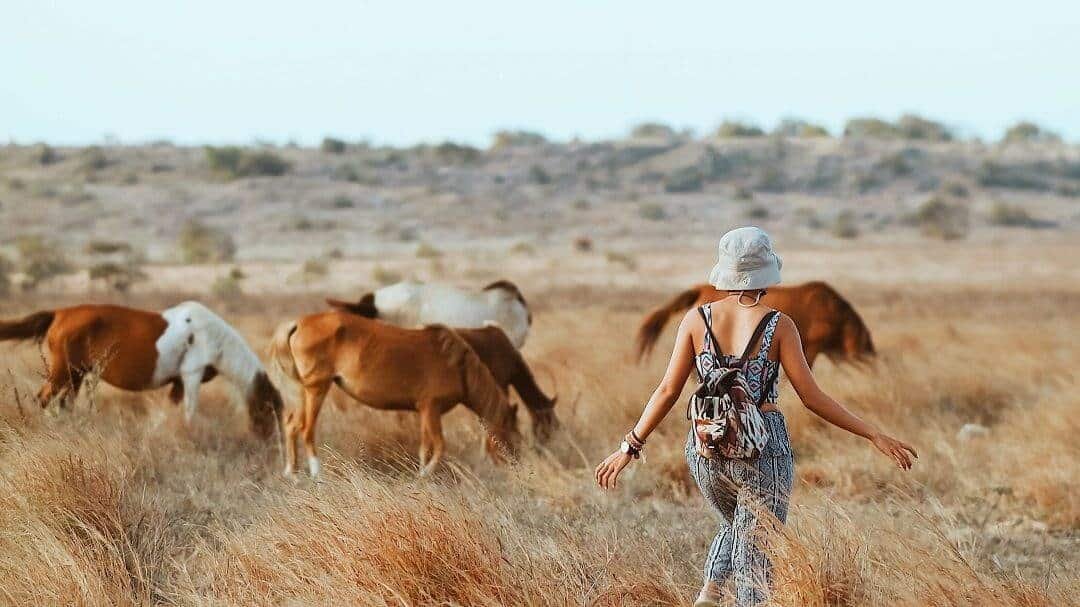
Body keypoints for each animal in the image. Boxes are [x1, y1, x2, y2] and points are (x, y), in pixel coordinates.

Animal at [0, 300, 282, 436]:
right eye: (271, 410)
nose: (270, 441)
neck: (211, 336)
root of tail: (59, 314)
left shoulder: (178, 383)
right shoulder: (191, 377)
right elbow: (189, 413)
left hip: (75, 375)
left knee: (63, 403)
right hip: (63, 373)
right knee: (43, 399)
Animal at [270, 308, 522, 475]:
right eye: (511, 432)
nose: (515, 463)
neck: (456, 364)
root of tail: (298, 323)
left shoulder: (425, 412)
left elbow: (425, 448)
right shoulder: (432, 409)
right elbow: (440, 446)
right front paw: (424, 475)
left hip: (304, 391)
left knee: (291, 426)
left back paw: (292, 473)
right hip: (317, 389)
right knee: (306, 430)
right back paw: (316, 474)